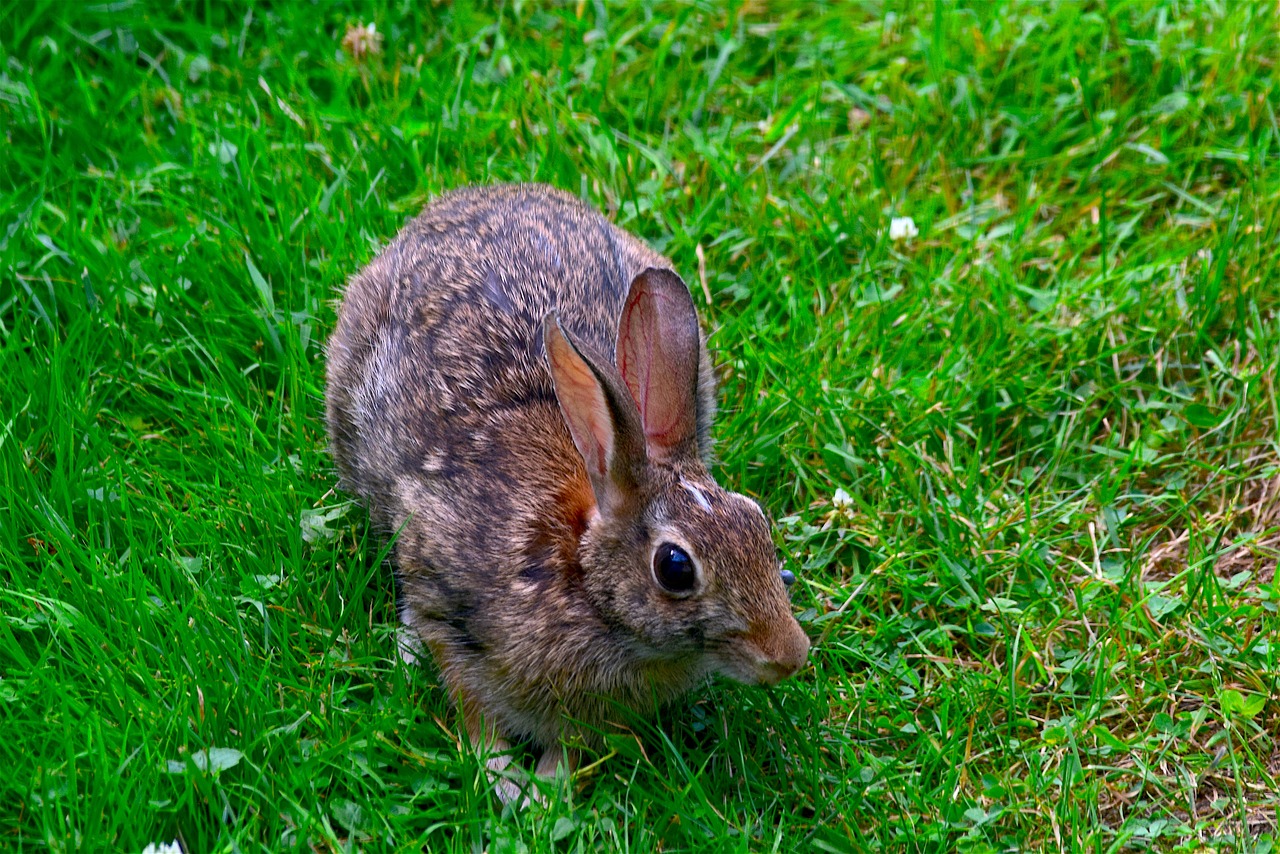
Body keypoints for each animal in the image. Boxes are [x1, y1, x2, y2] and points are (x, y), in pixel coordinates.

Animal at [325, 184, 803, 804]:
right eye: (675, 567)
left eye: (757, 520)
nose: (791, 655)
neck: (580, 576)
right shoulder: (442, 594)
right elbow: (469, 700)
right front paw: (505, 781)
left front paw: (548, 790)